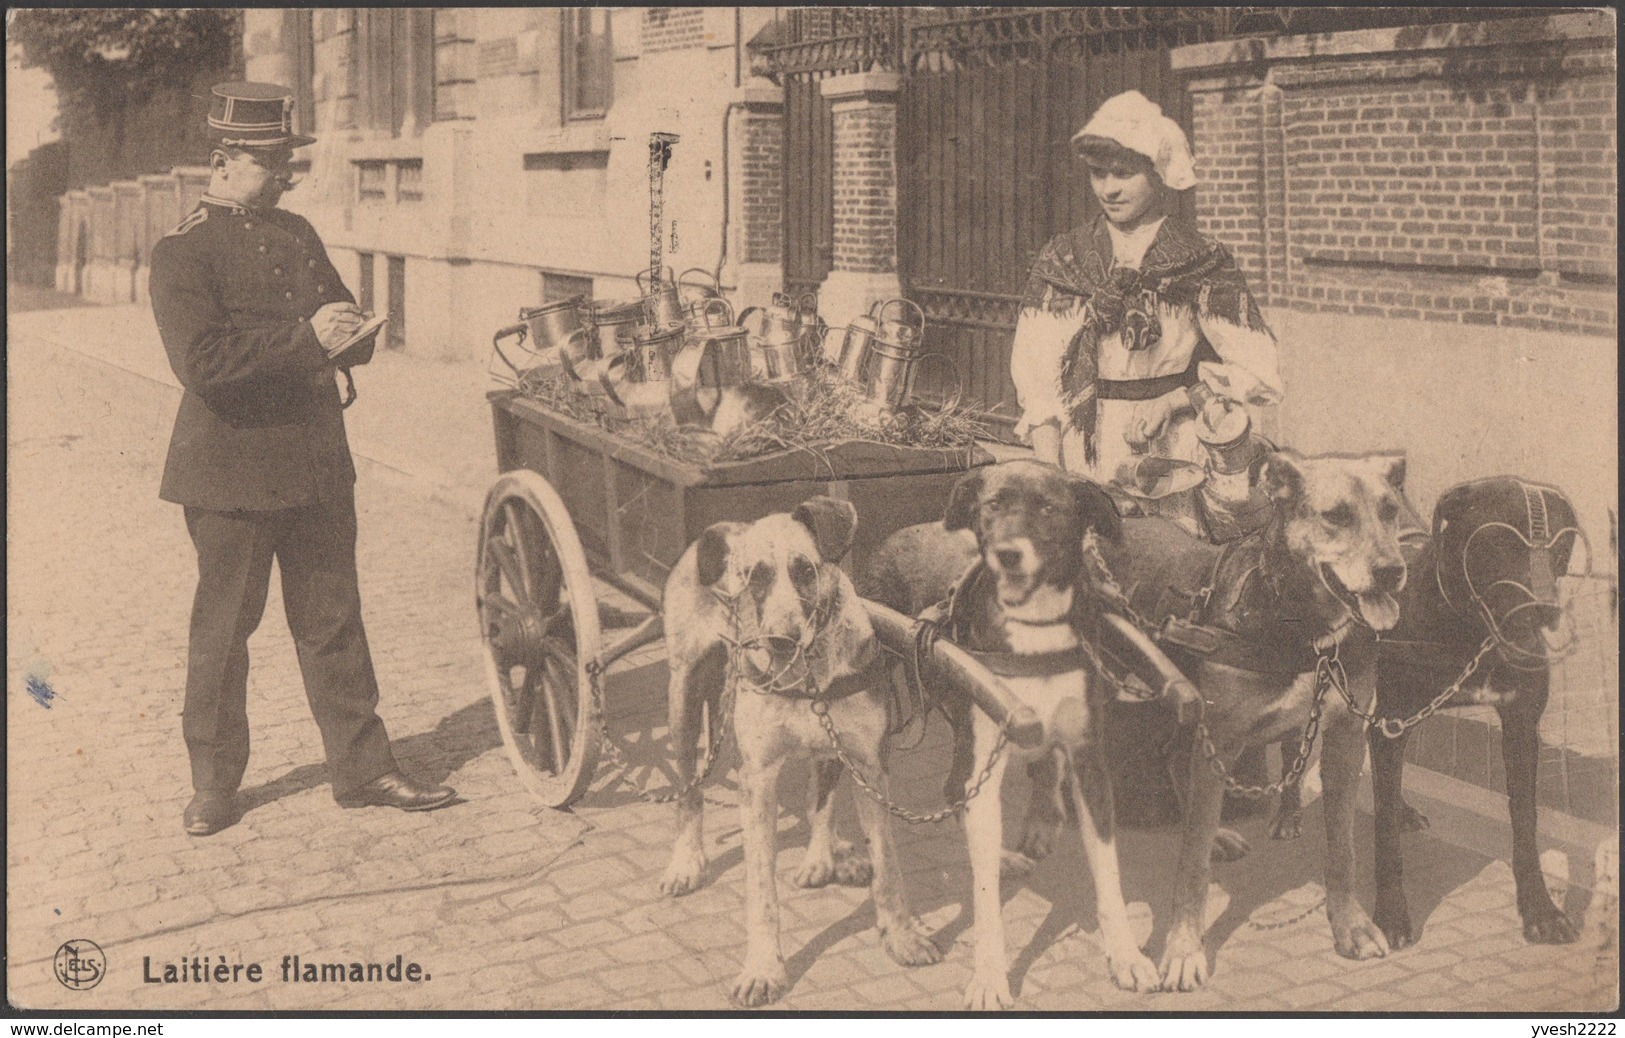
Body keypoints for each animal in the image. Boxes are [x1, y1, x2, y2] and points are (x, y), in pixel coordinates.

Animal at [656, 493, 942, 1007]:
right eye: (754, 577)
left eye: (805, 570)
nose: (781, 639)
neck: (807, 671)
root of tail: (721, 527)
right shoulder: (758, 779)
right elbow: (761, 892)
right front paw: (763, 968)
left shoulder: (870, 766)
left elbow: (888, 865)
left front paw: (901, 937)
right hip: (683, 696)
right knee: (690, 790)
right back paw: (686, 862)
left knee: (821, 795)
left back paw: (823, 858)